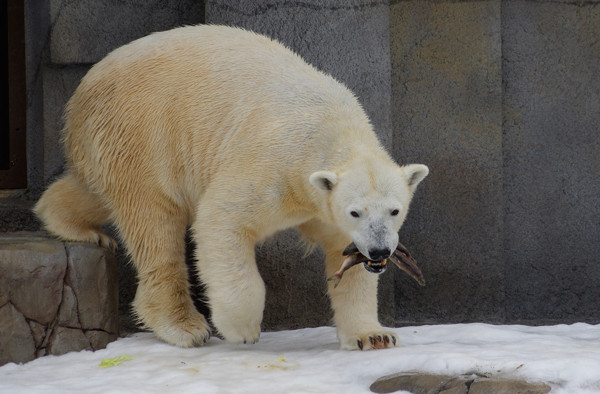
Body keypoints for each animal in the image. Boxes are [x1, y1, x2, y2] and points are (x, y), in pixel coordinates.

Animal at [34, 24, 426, 350]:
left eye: (395, 210)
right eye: (355, 211)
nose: (379, 251)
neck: (330, 130)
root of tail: (85, 87)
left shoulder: (324, 204)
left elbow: (344, 258)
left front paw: (373, 335)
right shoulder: (274, 163)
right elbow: (221, 220)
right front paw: (242, 328)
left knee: (95, 191)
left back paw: (72, 224)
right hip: (142, 134)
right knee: (154, 222)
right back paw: (185, 326)